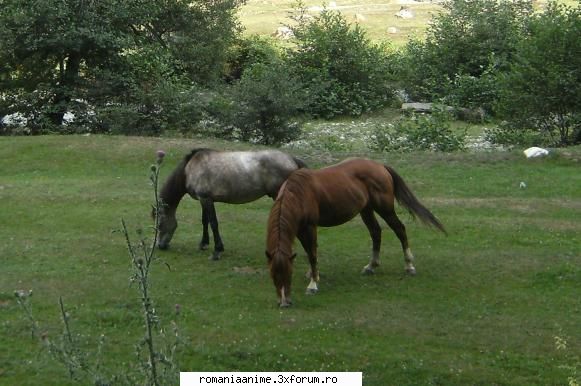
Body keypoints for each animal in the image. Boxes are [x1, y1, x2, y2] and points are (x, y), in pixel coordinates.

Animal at [154, 148, 308, 260]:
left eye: (159, 224)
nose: (160, 246)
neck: (190, 169)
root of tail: (292, 159)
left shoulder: (206, 199)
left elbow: (213, 223)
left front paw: (217, 251)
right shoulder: (204, 200)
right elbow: (205, 221)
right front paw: (204, 244)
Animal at [266, 158, 446, 308]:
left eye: (289, 275)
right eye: (273, 276)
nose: (284, 303)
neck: (298, 194)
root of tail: (380, 166)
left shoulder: (310, 226)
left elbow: (312, 254)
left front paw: (313, 284)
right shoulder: (299, 229)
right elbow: (311, 251)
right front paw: (313, 274)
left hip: (385, 209)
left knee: (400, 229)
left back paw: (409, 266)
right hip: (366, 209)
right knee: (376, 232)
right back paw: (371, 266)